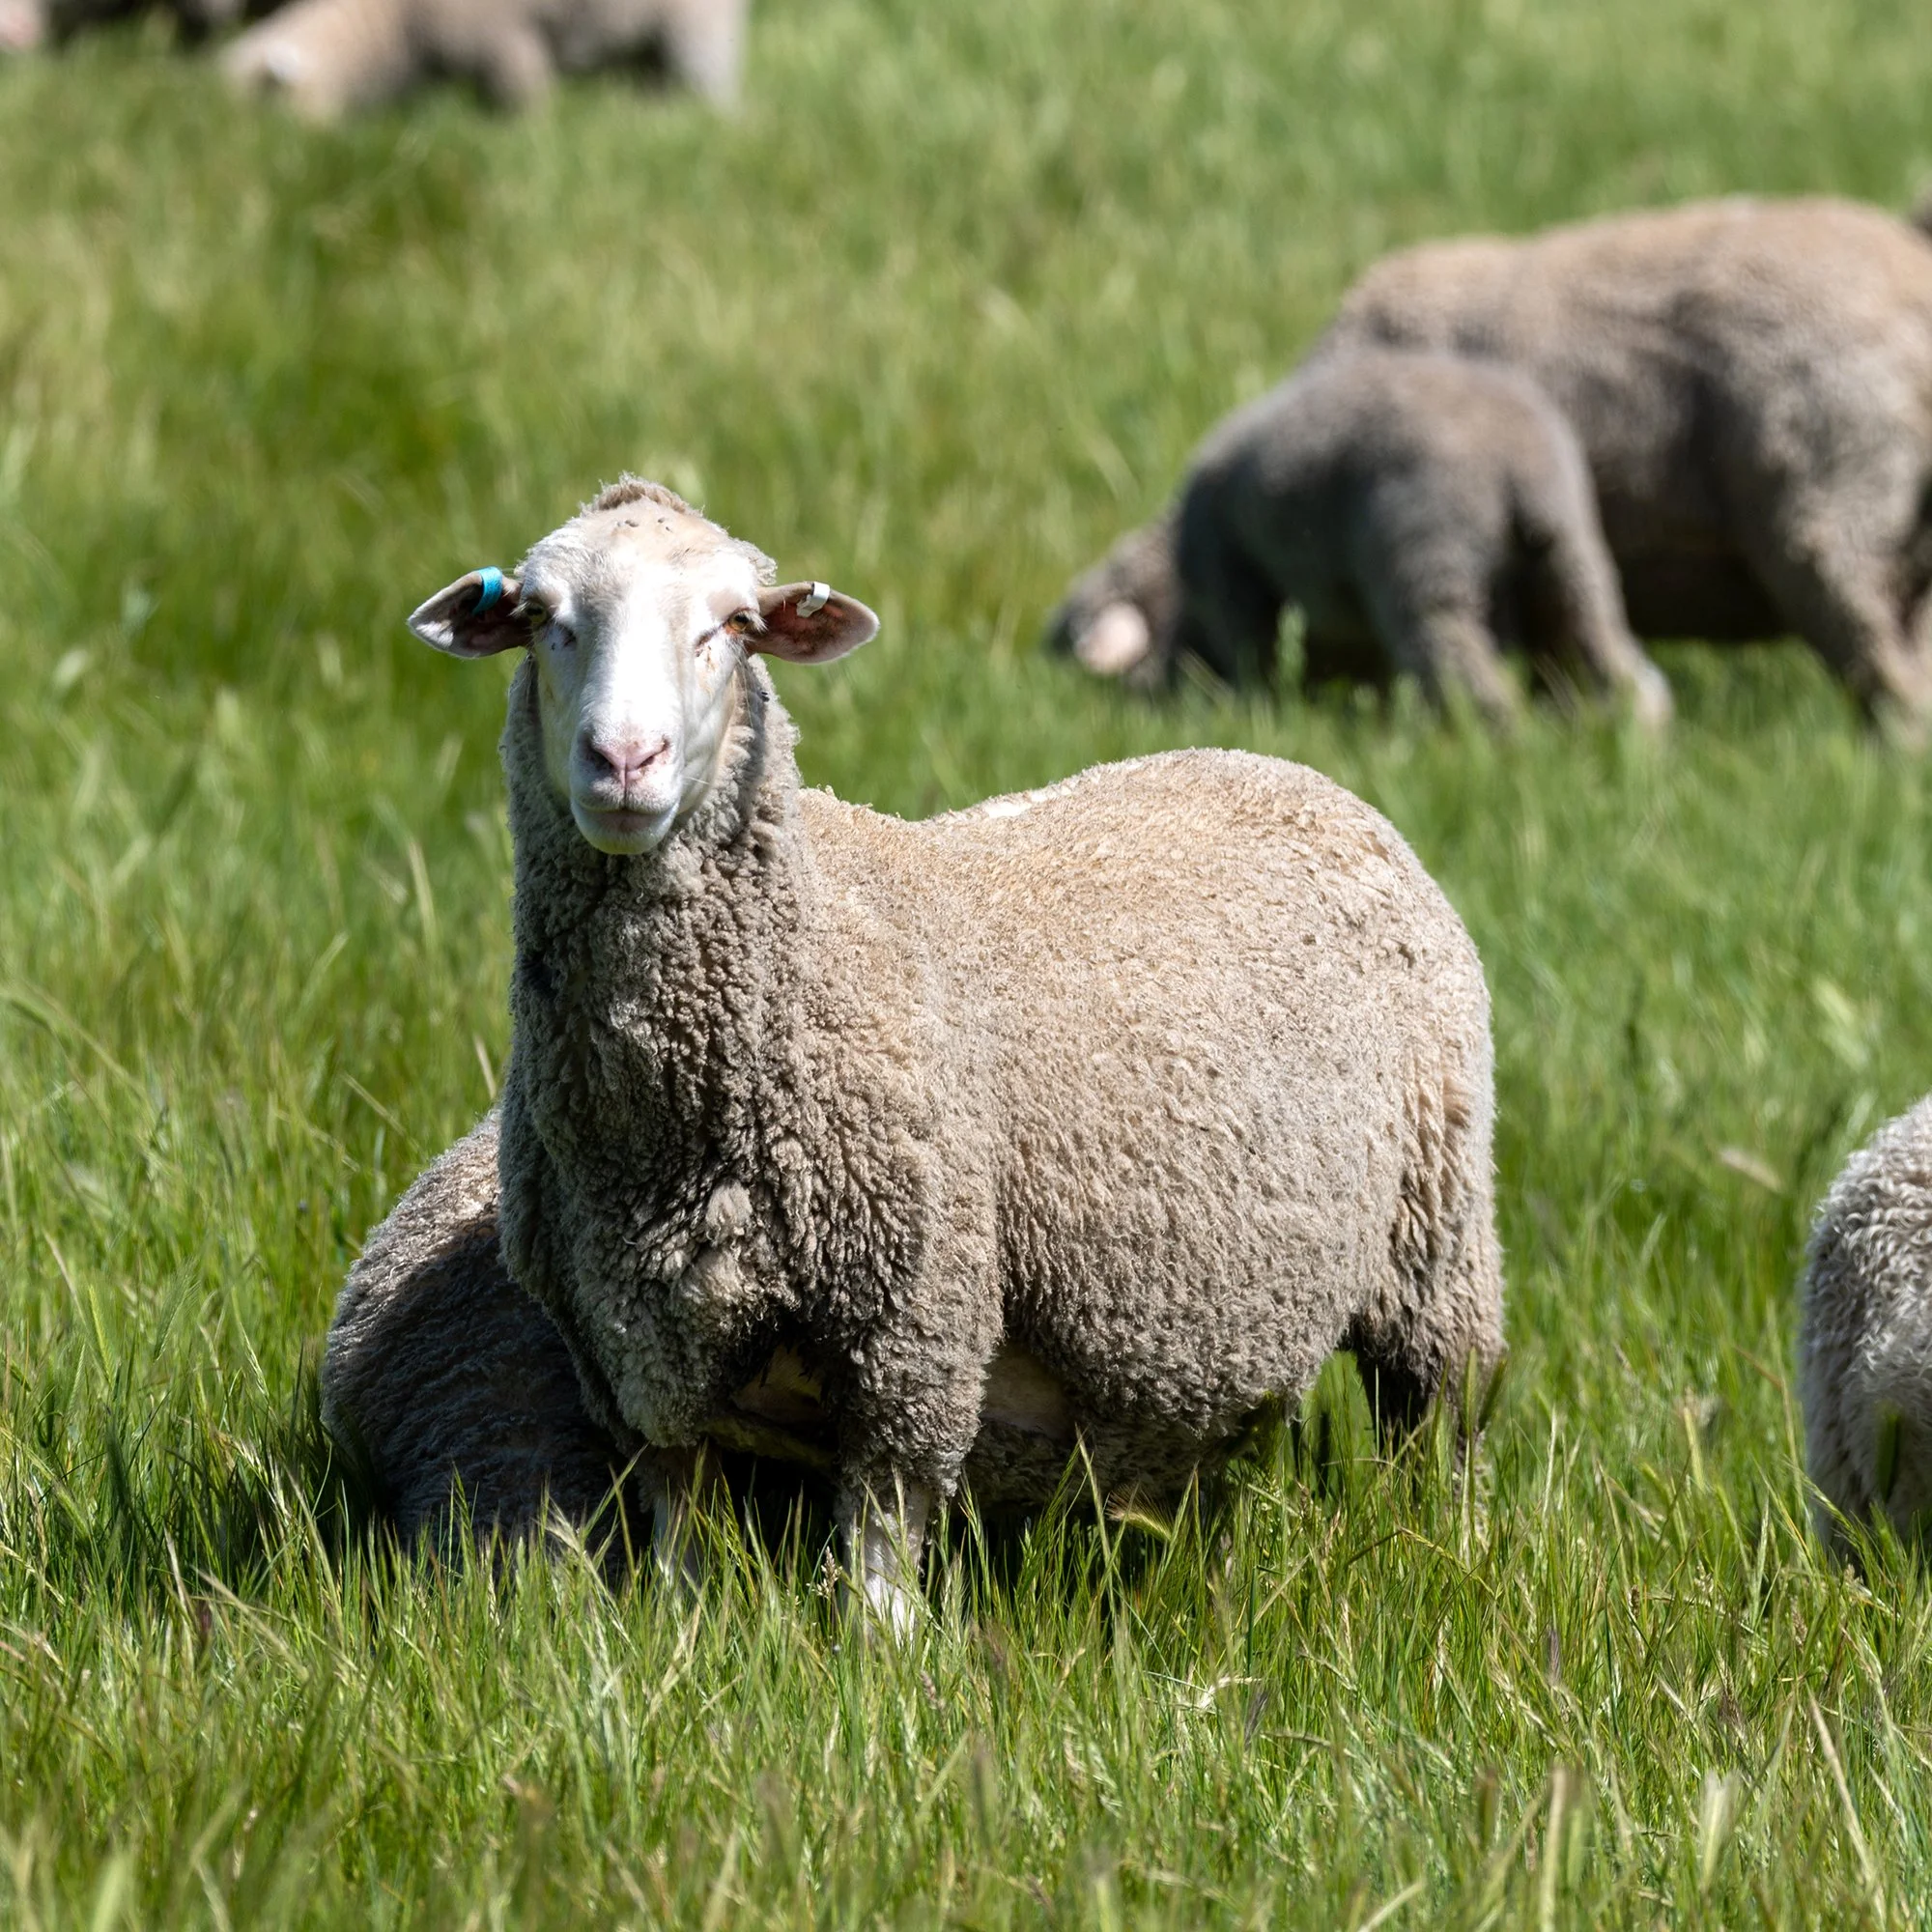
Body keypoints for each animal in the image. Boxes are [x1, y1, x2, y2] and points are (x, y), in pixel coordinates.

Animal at [401, 476, 1505, 1623]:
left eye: (736, 624)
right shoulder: (637, 1369)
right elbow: (683, 1559)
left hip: (1436, 1228)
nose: (624, 763)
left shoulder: (911, 1341)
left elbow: (879, 1567)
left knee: (1444, 1416)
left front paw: (879, 1656)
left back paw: (1451, 1557)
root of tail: (1275, 762)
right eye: (539, 617)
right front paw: (682, 1637)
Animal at [1047, 347, 1672, 730]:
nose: (1139, 704)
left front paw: (1261, 715)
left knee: (1457, 660)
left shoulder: (1231, 584)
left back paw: (1486, 739)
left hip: (1425, 552)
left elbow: (1253, 660)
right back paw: (1637, 733)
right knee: (1605, 650)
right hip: (1571, 558)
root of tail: (1519, 472)